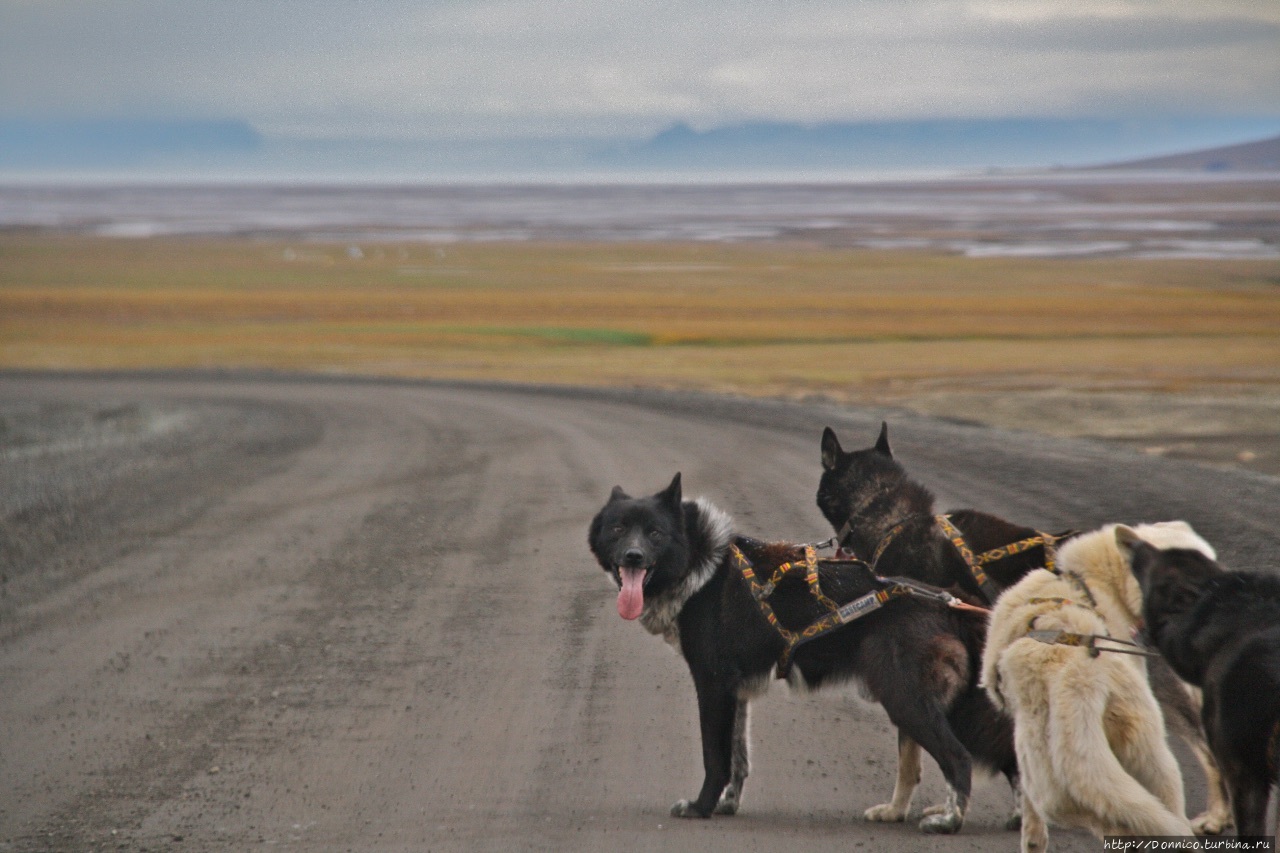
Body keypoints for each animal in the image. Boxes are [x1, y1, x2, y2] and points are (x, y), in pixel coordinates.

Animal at [586, 471, 1013, 829]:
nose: (633, 556)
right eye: (619, 528)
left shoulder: (713, 686)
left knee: (959, 758)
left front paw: (701, 807)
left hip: (907, 698)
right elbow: (738, 760)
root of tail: (947, 602)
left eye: (655, 532)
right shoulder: (736, 692)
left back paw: (949, 821)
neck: (700, 563)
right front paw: (726, 804)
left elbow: (715, 758)